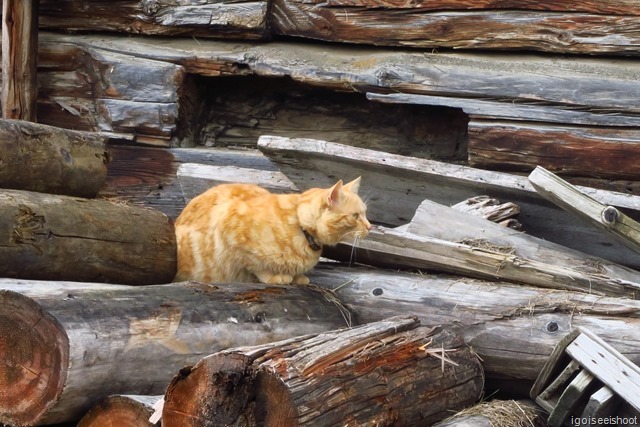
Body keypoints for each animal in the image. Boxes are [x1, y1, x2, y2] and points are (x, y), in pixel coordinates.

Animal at [174, 177, 370, 284]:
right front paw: (276, 276)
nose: (370, 227)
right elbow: (255, 265)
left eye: (365, 213)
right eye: (355, 216)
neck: (301, 227)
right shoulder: (228, 225)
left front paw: (297, 276)